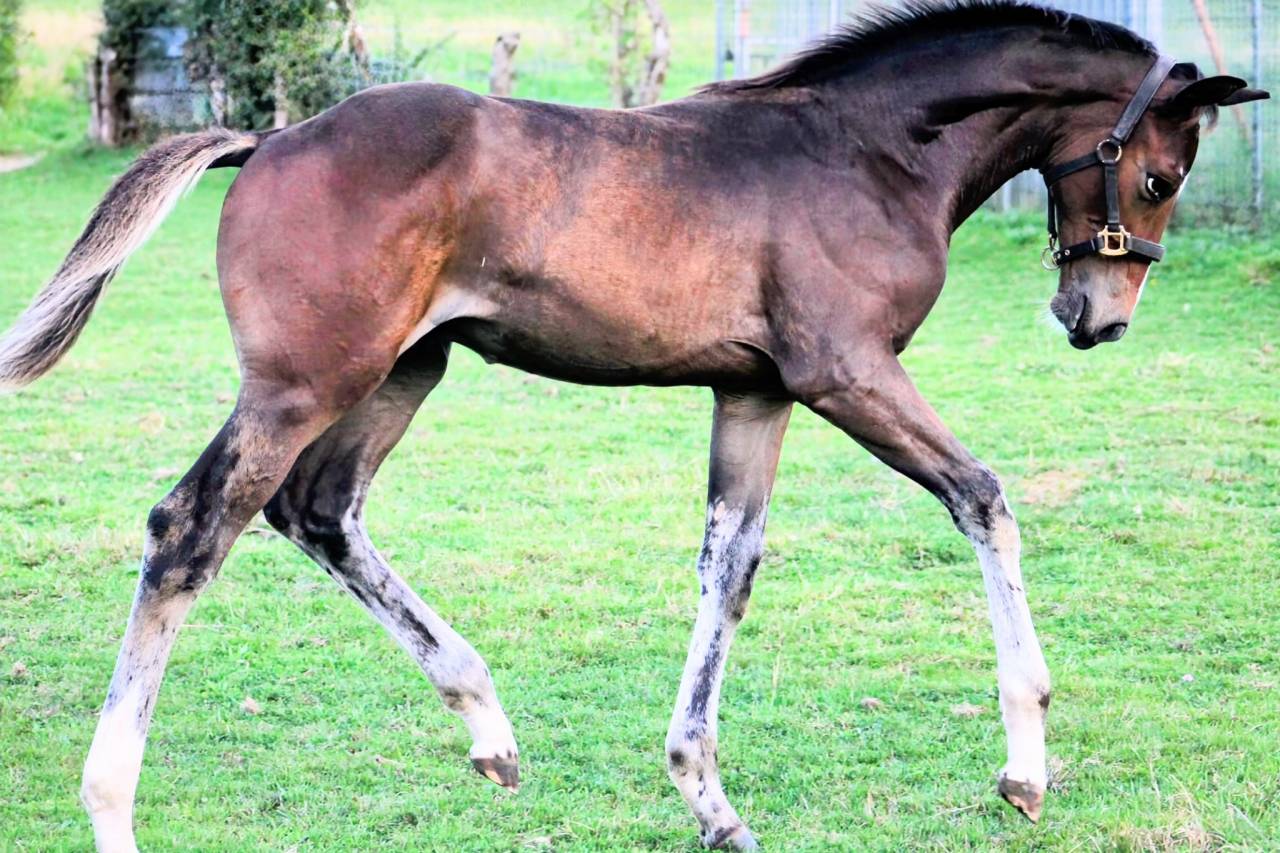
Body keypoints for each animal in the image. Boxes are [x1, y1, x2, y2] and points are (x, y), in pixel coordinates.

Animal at [0, 2, 1267, 849]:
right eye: (1159, 180)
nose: (1095, 317)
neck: (865, 151)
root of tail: (266, 140)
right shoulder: (845, 372)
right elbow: (983, 497)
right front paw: (1023, 768)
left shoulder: (756, 391)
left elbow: (728, 565)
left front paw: (706, 795)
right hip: (305, 382)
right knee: (190, 530)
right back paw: (113, 806)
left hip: (405, 368)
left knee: (319, 512)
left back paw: (488, 726)